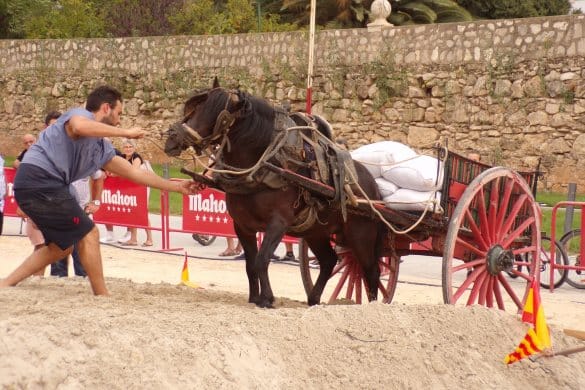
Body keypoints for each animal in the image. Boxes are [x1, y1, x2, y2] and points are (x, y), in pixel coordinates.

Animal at [164, 81, 384, 308]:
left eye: (220, 115)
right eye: (197, 107)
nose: (173, 138)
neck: (266, 164)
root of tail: (371, 182)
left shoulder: (278, 223)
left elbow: (262, 259)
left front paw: (267, 298)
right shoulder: (243, 226)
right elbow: (251, 264)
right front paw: (254, 297)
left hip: (360, 235)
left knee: (370, 270)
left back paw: (374, 305)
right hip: (315, 232)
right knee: (329, 260)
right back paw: (313, 299)